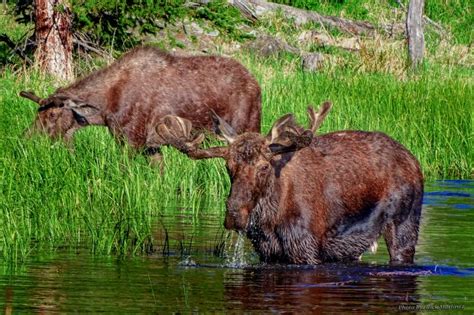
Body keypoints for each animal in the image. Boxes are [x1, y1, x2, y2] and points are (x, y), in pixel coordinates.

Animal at [18, 46, 262, 163]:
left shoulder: (131, 142)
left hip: (245, 126)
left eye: (52, 115)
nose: (26, 140)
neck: (104, 109)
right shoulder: (151, 147)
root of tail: (256, 83)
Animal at [157, 102, 424, 266]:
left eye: (264, 167)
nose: (234, 215)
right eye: (228, 167)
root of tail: (414, 159)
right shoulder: (268, 252)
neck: (271, 218)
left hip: (404, 224)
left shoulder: (306, 250)